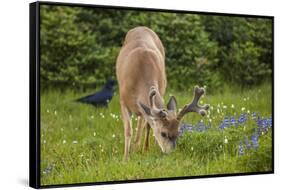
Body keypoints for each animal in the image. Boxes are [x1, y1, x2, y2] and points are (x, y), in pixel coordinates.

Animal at [115, 26, 209, 160]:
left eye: (178, 133)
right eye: (163, 133)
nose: (170, 153)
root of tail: (141, 27)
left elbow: (146, 126)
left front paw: (143, 149)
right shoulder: (123, 101)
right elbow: (128, 131)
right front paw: (125, 158)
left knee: (143, 124)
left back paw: (141, 147)